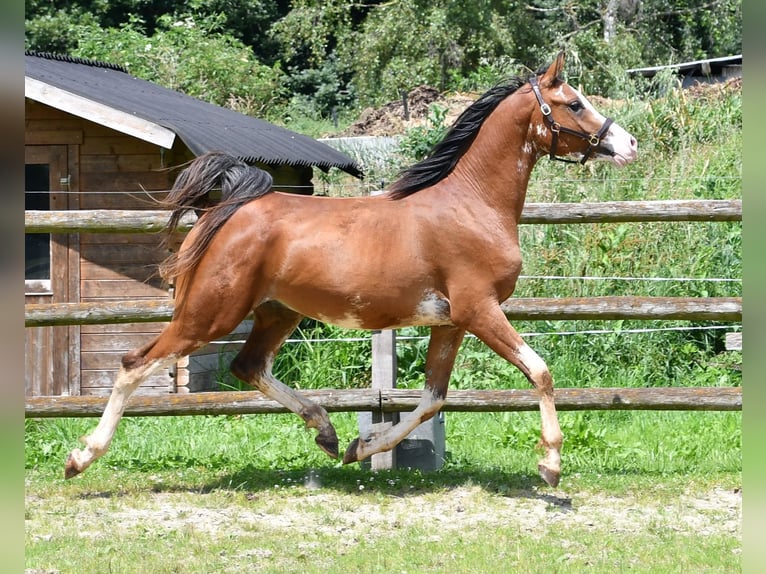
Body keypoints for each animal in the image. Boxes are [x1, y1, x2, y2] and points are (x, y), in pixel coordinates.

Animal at [66, 51, 640, 488]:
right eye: (574, 103)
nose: (629, 144)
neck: (471, 204)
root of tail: (226, 209)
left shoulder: (452, 322)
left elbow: (431, 400)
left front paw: (361, 448)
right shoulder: (480, 311)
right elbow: (540, 372)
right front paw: (551, 464)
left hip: (276, 313)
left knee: (248, 367)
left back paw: (326, 431)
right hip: (209, 314)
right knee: (134, 364)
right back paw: (81, 457)